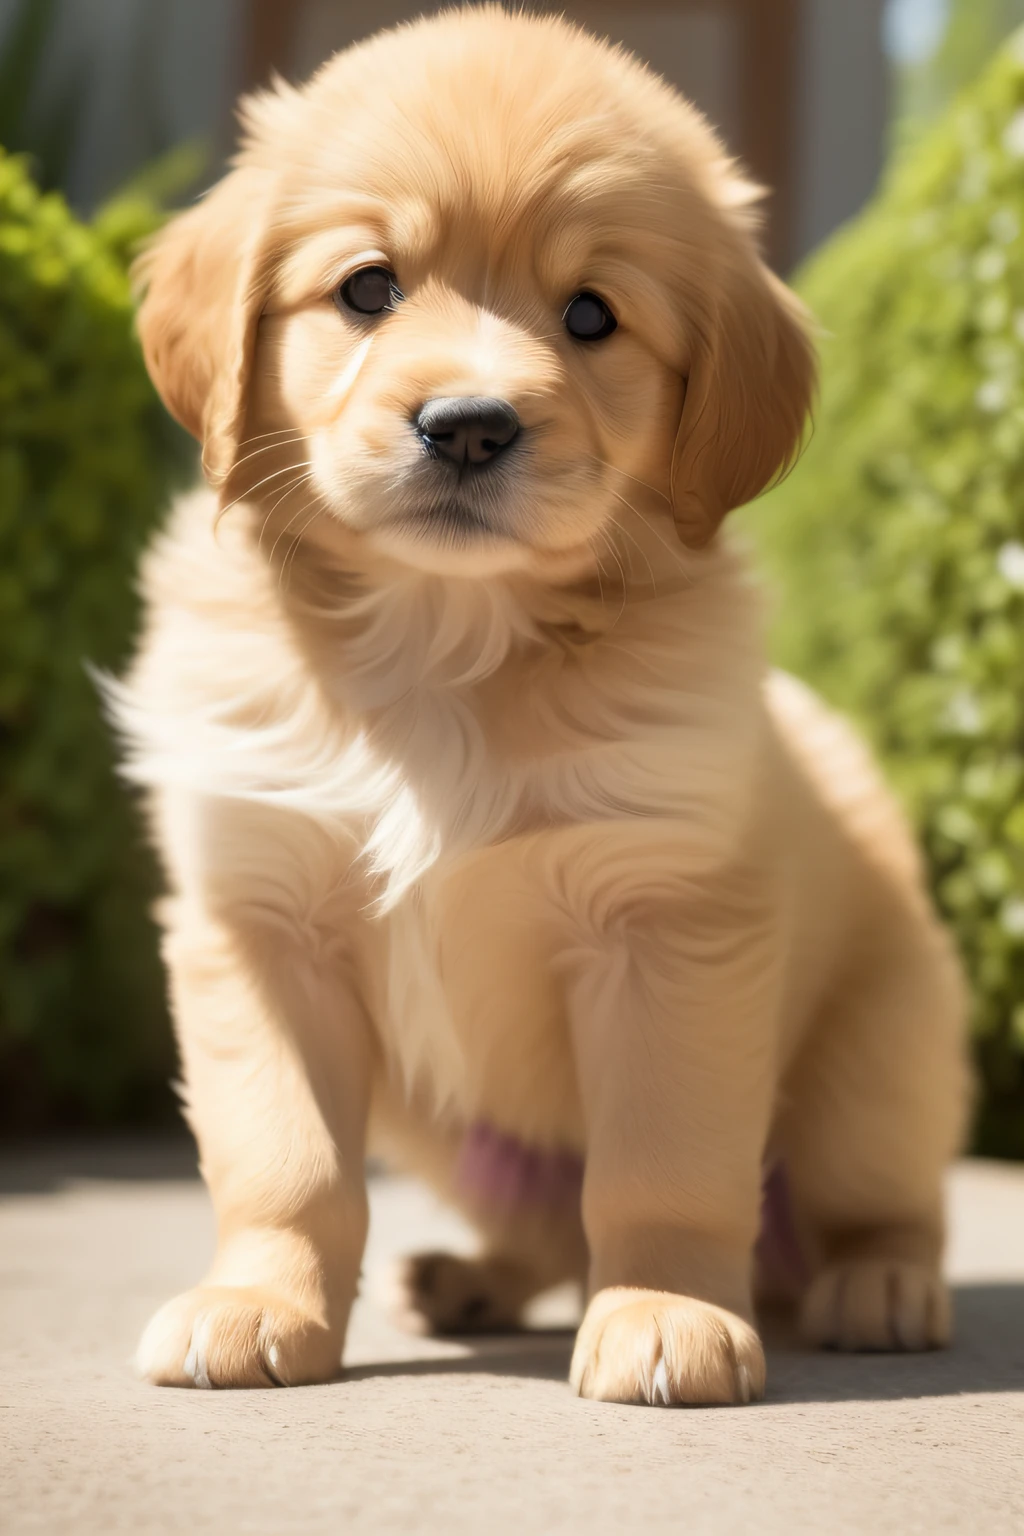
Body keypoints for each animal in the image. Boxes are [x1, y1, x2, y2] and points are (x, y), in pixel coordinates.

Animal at [115, 9, 976, 1406]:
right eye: (367, 287)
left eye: (590, 315)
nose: (469, 426)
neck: (442, 641)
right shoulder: (260, 925)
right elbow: (287, 1159)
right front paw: (256, 1301)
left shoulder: (665, 928)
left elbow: (661, 1167)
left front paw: (665, 1309)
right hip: (450, 1124)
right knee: (537, 1226)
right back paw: (470, 1277)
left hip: (879, 1067)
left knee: (877, 1200)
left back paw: (881, 1283)